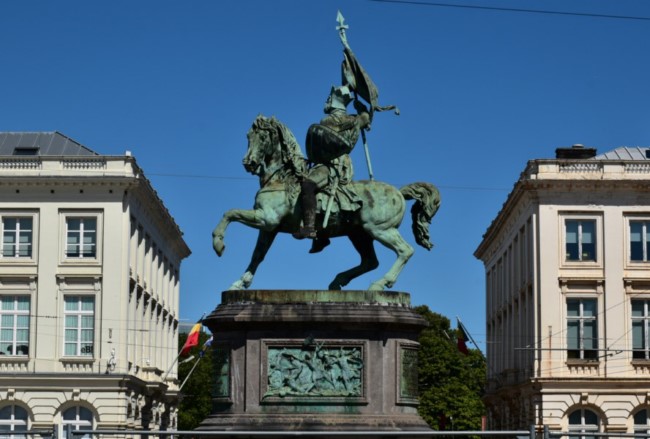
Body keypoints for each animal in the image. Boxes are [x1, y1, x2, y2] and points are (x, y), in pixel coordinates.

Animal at [213, 115, 440, 290]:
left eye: (262, 137)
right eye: (248, 136)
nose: (248, 163)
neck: (281, 178)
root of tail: (399, 192)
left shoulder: (267, 219)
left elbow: (230, 213)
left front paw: (218, 244)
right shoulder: (269, 227)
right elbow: (257, 254)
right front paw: (240, 283)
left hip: (380, 229)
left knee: (405, 251)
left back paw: (379, 284)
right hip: (360, 234)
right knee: (370, 261)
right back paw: (338, 281)